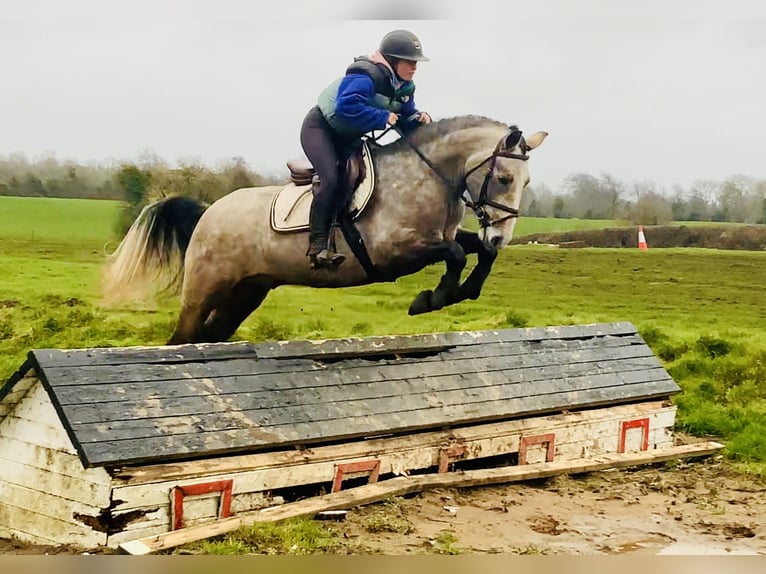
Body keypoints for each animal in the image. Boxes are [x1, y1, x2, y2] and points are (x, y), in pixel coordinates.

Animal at [103, 115, 548, 345]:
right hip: (205, 290)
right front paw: (430, 299)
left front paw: (460, 291)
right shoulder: (396, 251)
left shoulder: (442, 238)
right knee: (184, 338)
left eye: (527, 183)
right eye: (504, 178)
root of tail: (209, 212)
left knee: (212, 335)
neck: (428, 174)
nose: (502, 236)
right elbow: (455, 255)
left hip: (246, 293)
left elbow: (476, 252)